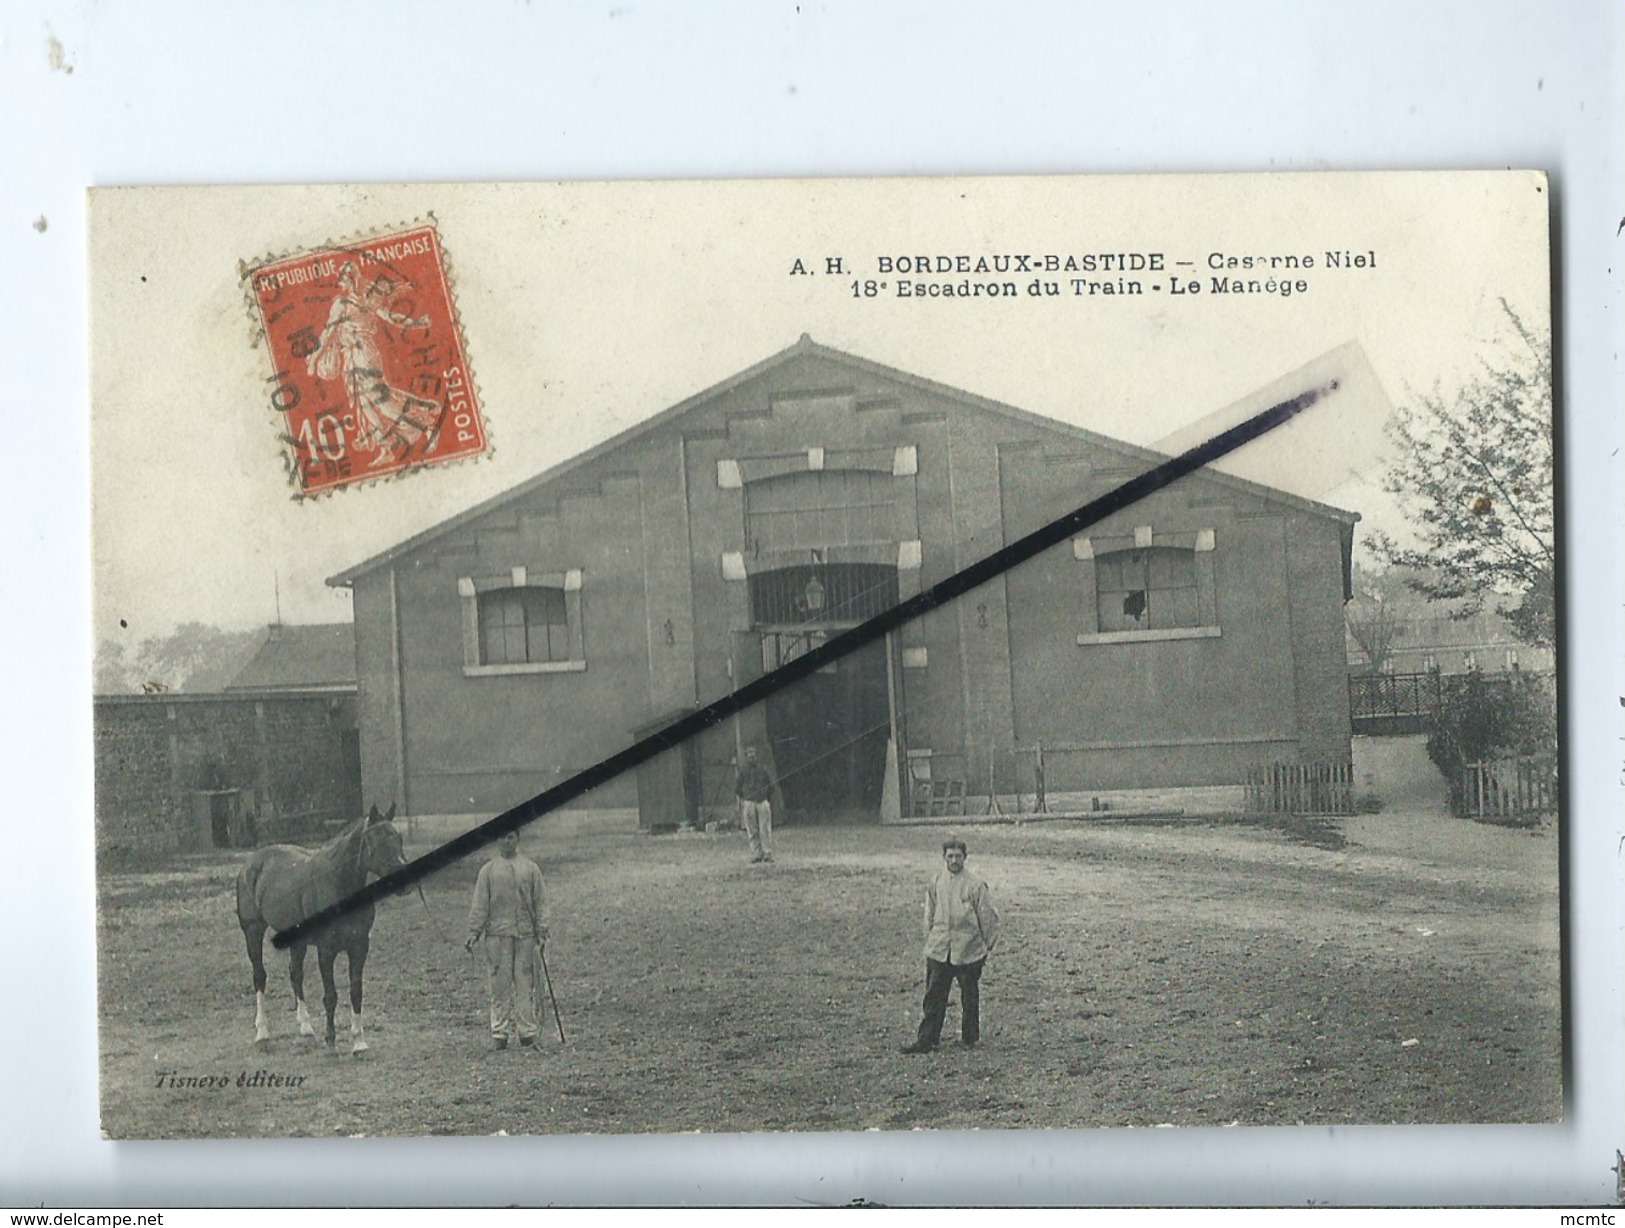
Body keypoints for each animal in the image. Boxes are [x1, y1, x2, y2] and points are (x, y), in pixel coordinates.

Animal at [237, 802, 409, 1052]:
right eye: (376, 840)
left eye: (398, 838)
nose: (404, 882)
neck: (338, 885)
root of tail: (251, 863)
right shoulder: (326, 950)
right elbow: (331, 996)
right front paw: (331, 1039)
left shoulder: (359, 947)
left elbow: (356, 992)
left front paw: (359, 1042)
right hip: (253, 932)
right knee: (260, 976)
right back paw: (262, 1033)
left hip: (297, 941)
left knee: (295, 974)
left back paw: (306, 1028)